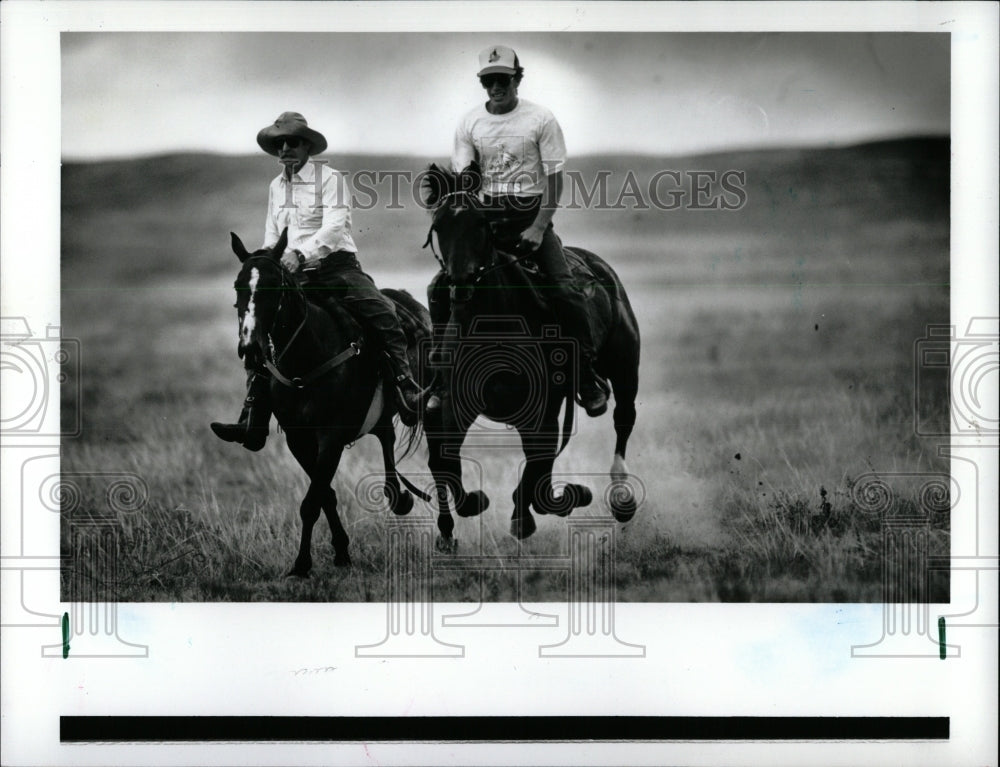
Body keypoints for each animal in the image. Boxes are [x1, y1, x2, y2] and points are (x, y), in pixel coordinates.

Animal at [227, 230, 430, 576]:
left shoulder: (330, 438)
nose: (251, 349)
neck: (307, 359)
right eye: (238, 287)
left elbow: (312, 502)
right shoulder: (299, 439)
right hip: (379, 417)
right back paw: (398, 497)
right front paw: (341, 552)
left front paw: (301, 564)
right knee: (386, 437)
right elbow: (325, 496)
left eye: (275, 286)